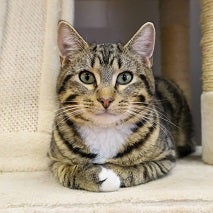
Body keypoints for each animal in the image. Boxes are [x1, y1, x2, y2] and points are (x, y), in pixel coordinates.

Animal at [48, 20, 195, 192]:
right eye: (86, 77)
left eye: (125, 77)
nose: (105, 99)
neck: (104, 131)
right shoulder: (53, 159)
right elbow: (66, 171)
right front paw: (92, 174)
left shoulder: (166, 156)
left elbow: (140, 169)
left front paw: (112, 172)